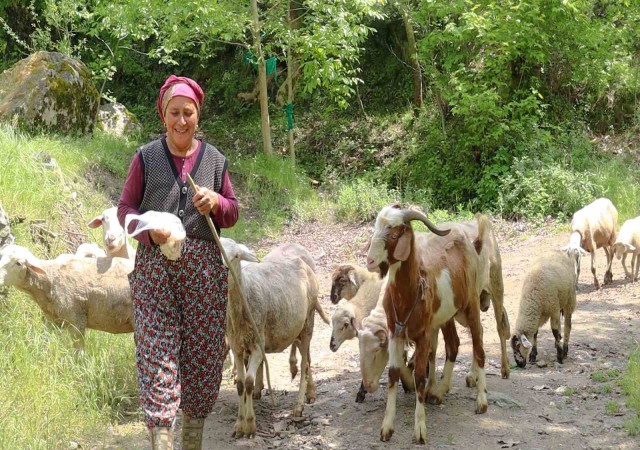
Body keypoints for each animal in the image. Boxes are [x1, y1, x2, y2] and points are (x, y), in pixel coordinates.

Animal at [0, 244, 135, 350]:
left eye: (18, 263)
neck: (50, 278)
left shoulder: (76, 320)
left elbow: (78, 350)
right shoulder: (52, 318)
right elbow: (45, 340)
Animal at [221, 239, 330, 440]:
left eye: (236, 256)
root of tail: (304, 264)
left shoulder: (258, 346)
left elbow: (248, 382)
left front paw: (250, 425)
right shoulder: (237, 347)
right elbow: (240, 384)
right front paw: (239, 425)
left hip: (308, 322)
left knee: (306, 363)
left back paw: (299, 405)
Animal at [364, 207, 490, 442]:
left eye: (394, 235)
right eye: (375, 227)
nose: (370, 261)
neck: (409, 294)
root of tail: (471, 243)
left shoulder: (422, 335)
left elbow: (420, 377)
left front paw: (420, 430)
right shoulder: (395, 333)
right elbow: (393, 374)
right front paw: (387, 427)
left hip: (471, 305)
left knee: (479, 346)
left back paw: (482, 402)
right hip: (447, 316)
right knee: (453, 344)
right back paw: (439, 392)